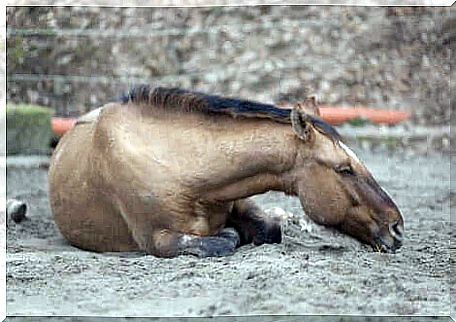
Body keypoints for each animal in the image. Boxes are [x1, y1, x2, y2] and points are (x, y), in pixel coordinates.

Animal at [50, 85, 404, 256]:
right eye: (344, 169)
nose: (396, 228)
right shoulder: (157, 239)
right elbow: (220, 241)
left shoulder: (241, 200)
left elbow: (269, 229)